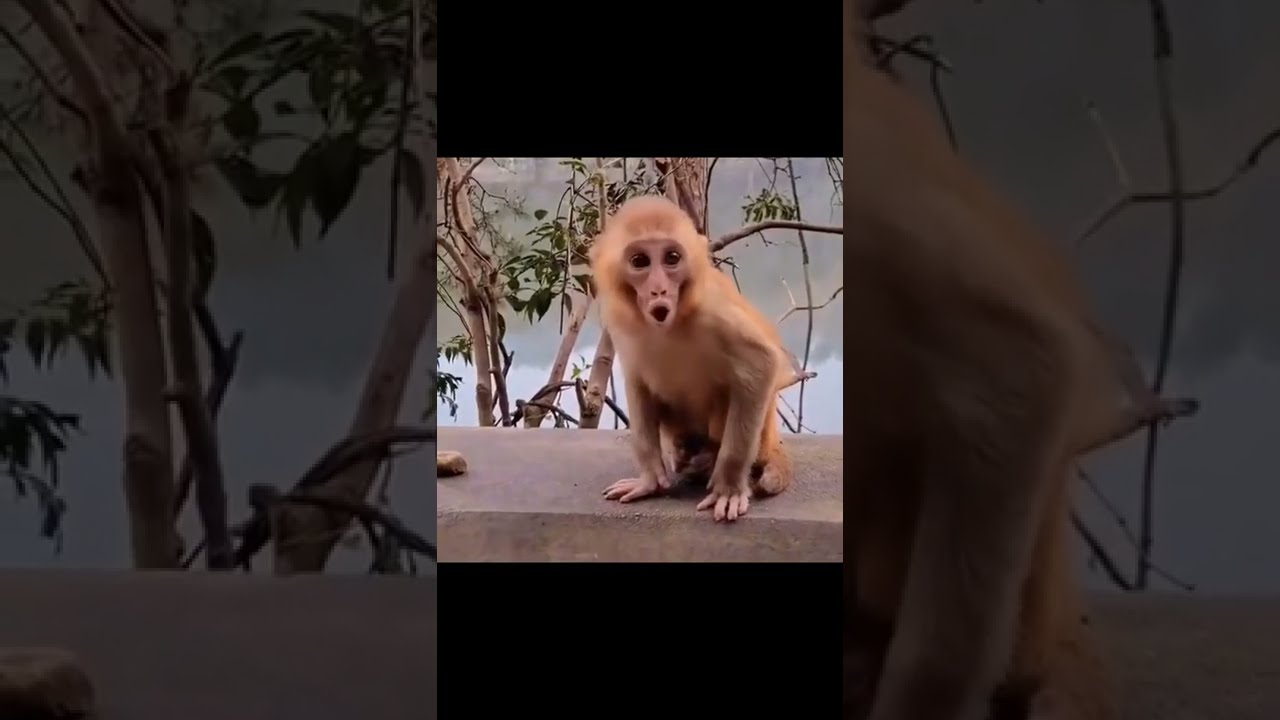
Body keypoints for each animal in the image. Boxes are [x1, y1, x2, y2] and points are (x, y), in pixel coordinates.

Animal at [589, 195, 795, 522]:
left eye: (672, 258)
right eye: (640, 261)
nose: (659, 289)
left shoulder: (713, 310)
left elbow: (760, 364)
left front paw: (729, 487)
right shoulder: (617, 319)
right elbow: (637, 378)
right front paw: (649, 481)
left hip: (760, 440)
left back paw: (709, 459)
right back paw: (687, 454)